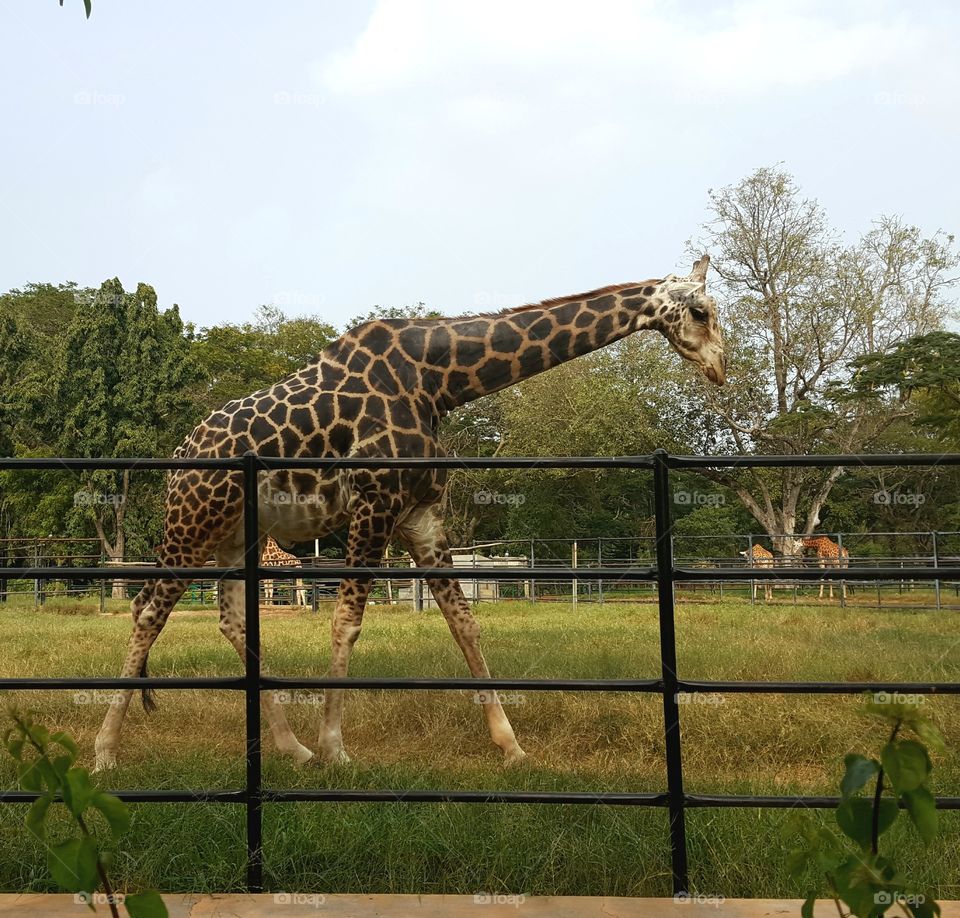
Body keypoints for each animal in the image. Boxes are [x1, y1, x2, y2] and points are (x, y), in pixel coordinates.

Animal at [94, 256, 725, 771]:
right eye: (700, 310)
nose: (720, 367)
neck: (440, 381)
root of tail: (178, 460)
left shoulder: (419, 512)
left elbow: (463, 620)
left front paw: (512, 746)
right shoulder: (374, 502)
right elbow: (346, 621)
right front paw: (336, 748)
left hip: (235, 536)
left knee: (229, 620)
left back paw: (290, 749)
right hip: (192, 523)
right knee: (147, 612)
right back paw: (105, 752)